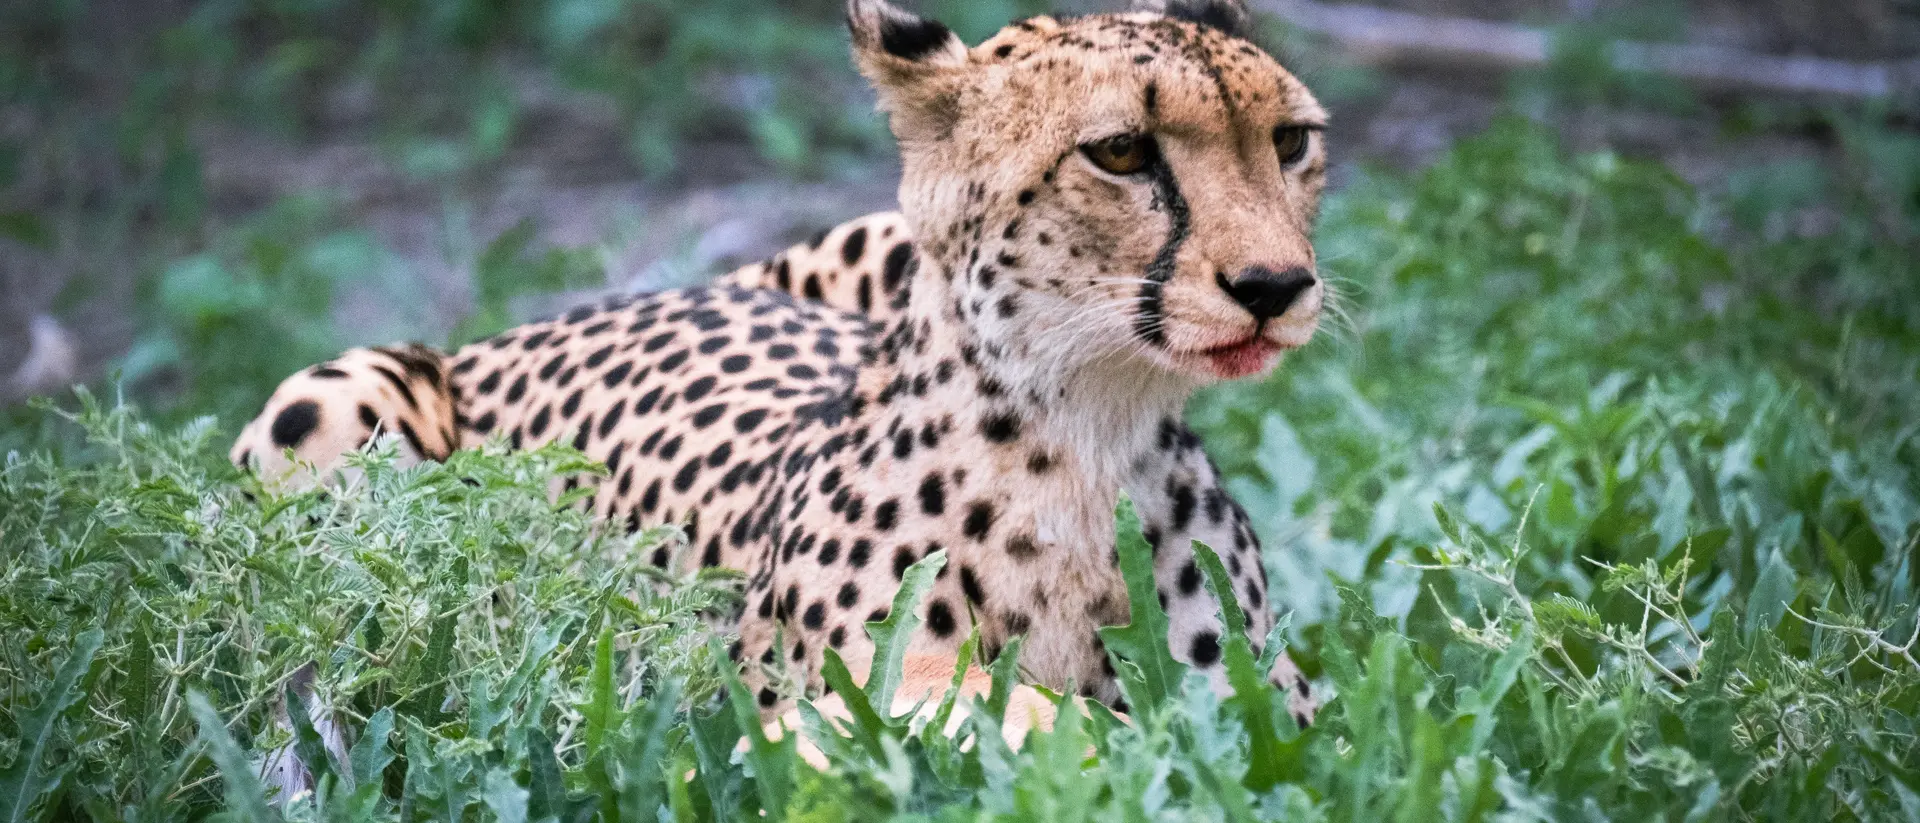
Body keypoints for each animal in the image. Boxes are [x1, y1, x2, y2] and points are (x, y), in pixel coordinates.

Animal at [231, 0, 1331, 737]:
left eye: (1290, 141)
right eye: (1122, 151)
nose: (1277, 284)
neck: (1085, 431)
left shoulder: (1276, 697)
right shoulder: (814, 693)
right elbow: (996, 703)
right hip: (331, 407)